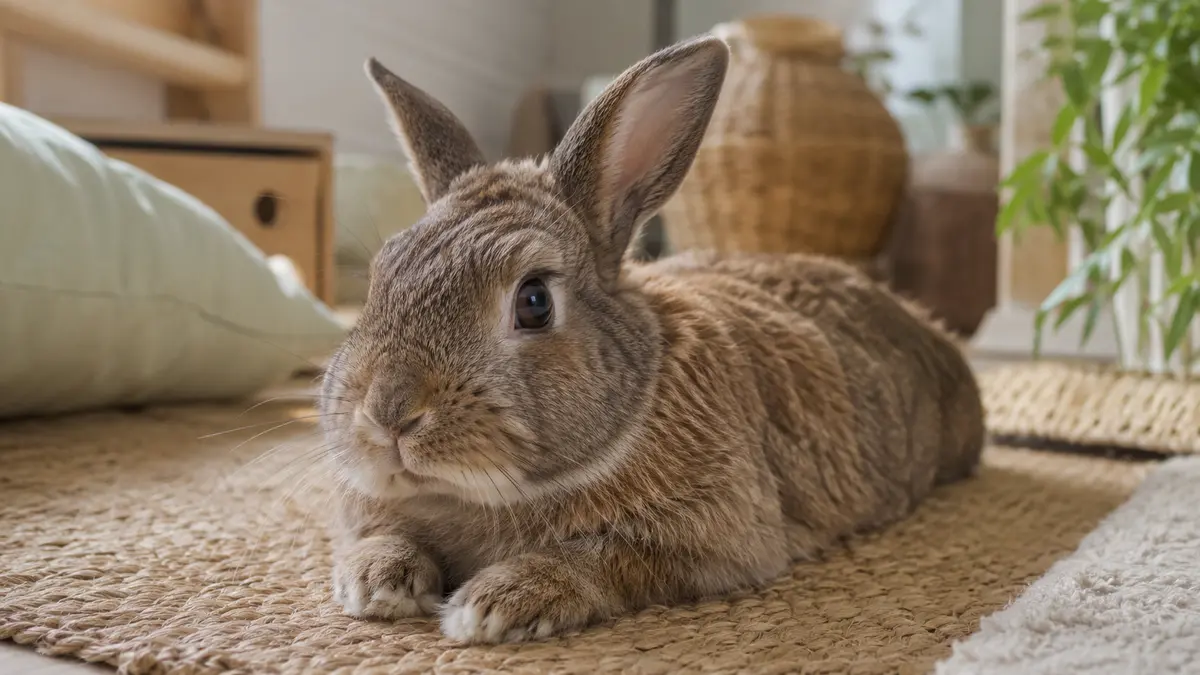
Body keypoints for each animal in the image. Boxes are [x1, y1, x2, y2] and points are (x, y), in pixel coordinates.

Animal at [318, 35, 985, 645]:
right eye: (379, 276)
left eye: (534, 302)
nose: (388, 414)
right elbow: (382, 534)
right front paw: (375, 581)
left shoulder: (708, 540)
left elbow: (602, 559)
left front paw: (496, 604)